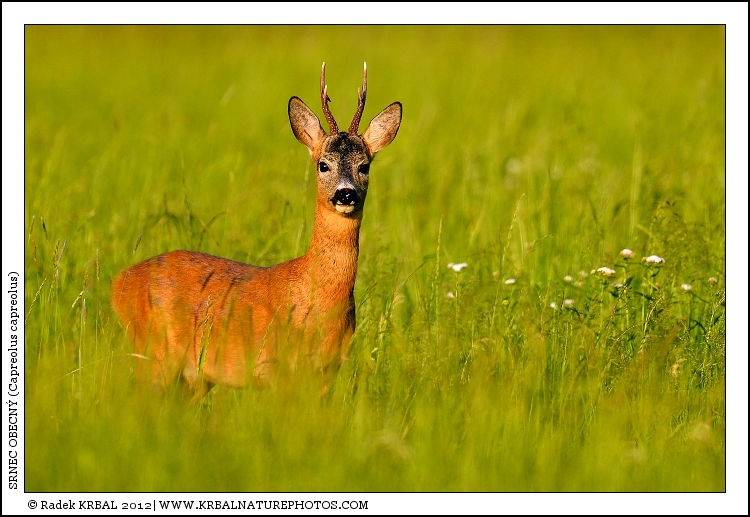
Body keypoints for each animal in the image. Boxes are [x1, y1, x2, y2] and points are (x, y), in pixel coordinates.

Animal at [111, 63, 402, 399]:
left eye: (364, 166)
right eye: (323, 165)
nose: (345, 194)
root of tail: (119, 282)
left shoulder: (327, 374)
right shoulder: (276, 368)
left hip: (190, 377)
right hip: (154, 353)